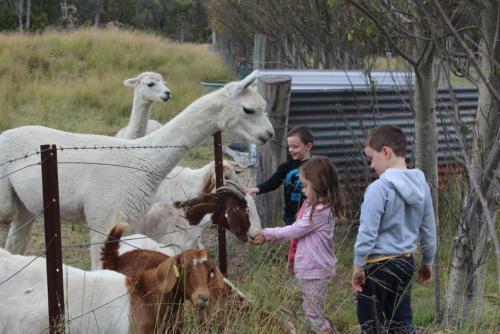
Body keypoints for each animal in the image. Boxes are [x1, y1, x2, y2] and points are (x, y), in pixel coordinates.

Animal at [0, 71, 274, 268]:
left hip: (27, 205)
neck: (142, 160)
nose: (269, 134)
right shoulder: (103, 219)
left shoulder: (129, 222)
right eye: (249, 109)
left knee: (16, 242)